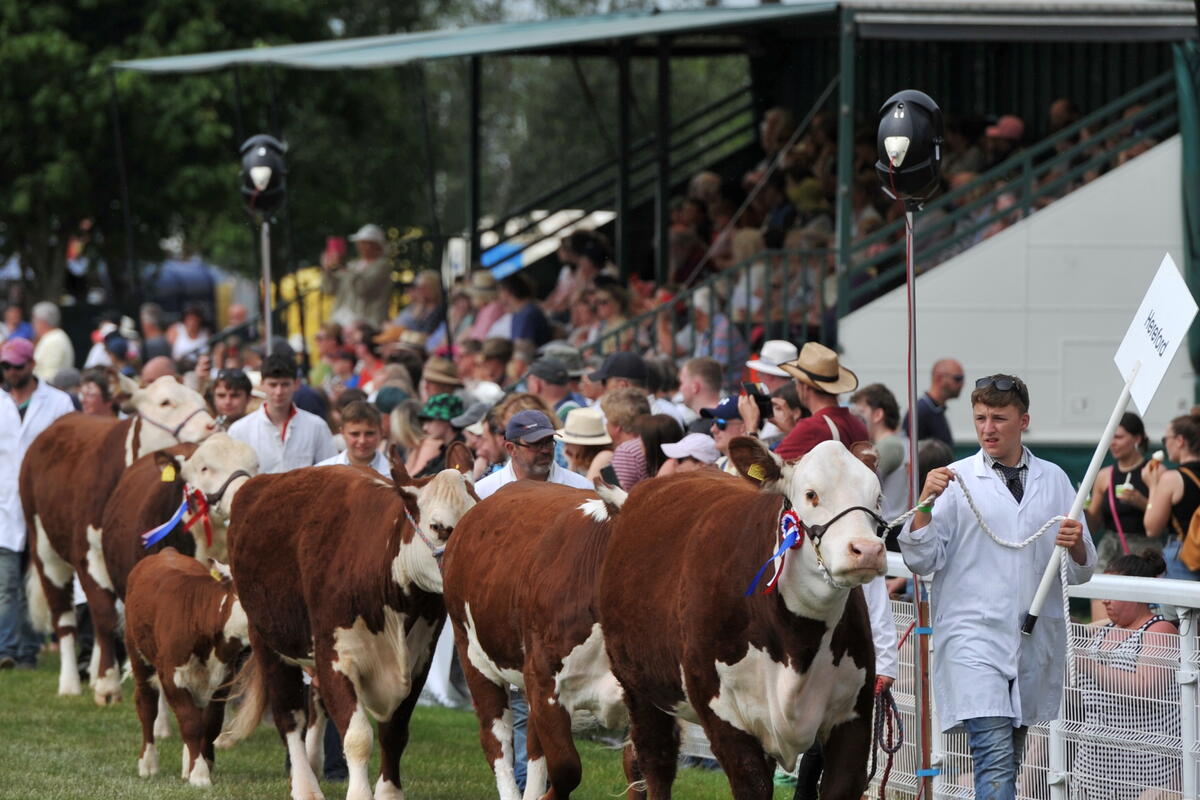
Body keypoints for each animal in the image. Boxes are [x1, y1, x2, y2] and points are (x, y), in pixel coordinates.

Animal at [21, 374, 215, 696]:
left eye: (202, 400)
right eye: (165, 402)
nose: (212, 427)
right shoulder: (87, 552)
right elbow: (104, 614)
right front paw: (107, 684)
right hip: (44, 549)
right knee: (64, 616)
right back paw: (70, 683)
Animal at [125, 548, 250, 787]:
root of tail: (167, 551)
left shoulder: (223, 680)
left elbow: (210, 724)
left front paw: (202, 765)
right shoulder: (171, 675)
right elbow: (190, 723)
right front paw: (199, 775)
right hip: (139, 657)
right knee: (147, 707)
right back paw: (148, 764)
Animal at [221, 443, 475, 800]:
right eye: (439, 527)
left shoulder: (418, 661)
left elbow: (394, 733)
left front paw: (389, 794)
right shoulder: (335, 656)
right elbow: (357, 736)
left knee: (314, 707)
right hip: (268, 640)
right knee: (290, 717)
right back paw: (305, 786)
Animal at [596, 438, 888, 800]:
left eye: (877, 498)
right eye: (811, 494)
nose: (867, 550)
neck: (799, 645)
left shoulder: (854, 717)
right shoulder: (725, 718)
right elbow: (753, 785)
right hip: (639, 687)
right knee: (653, 763)